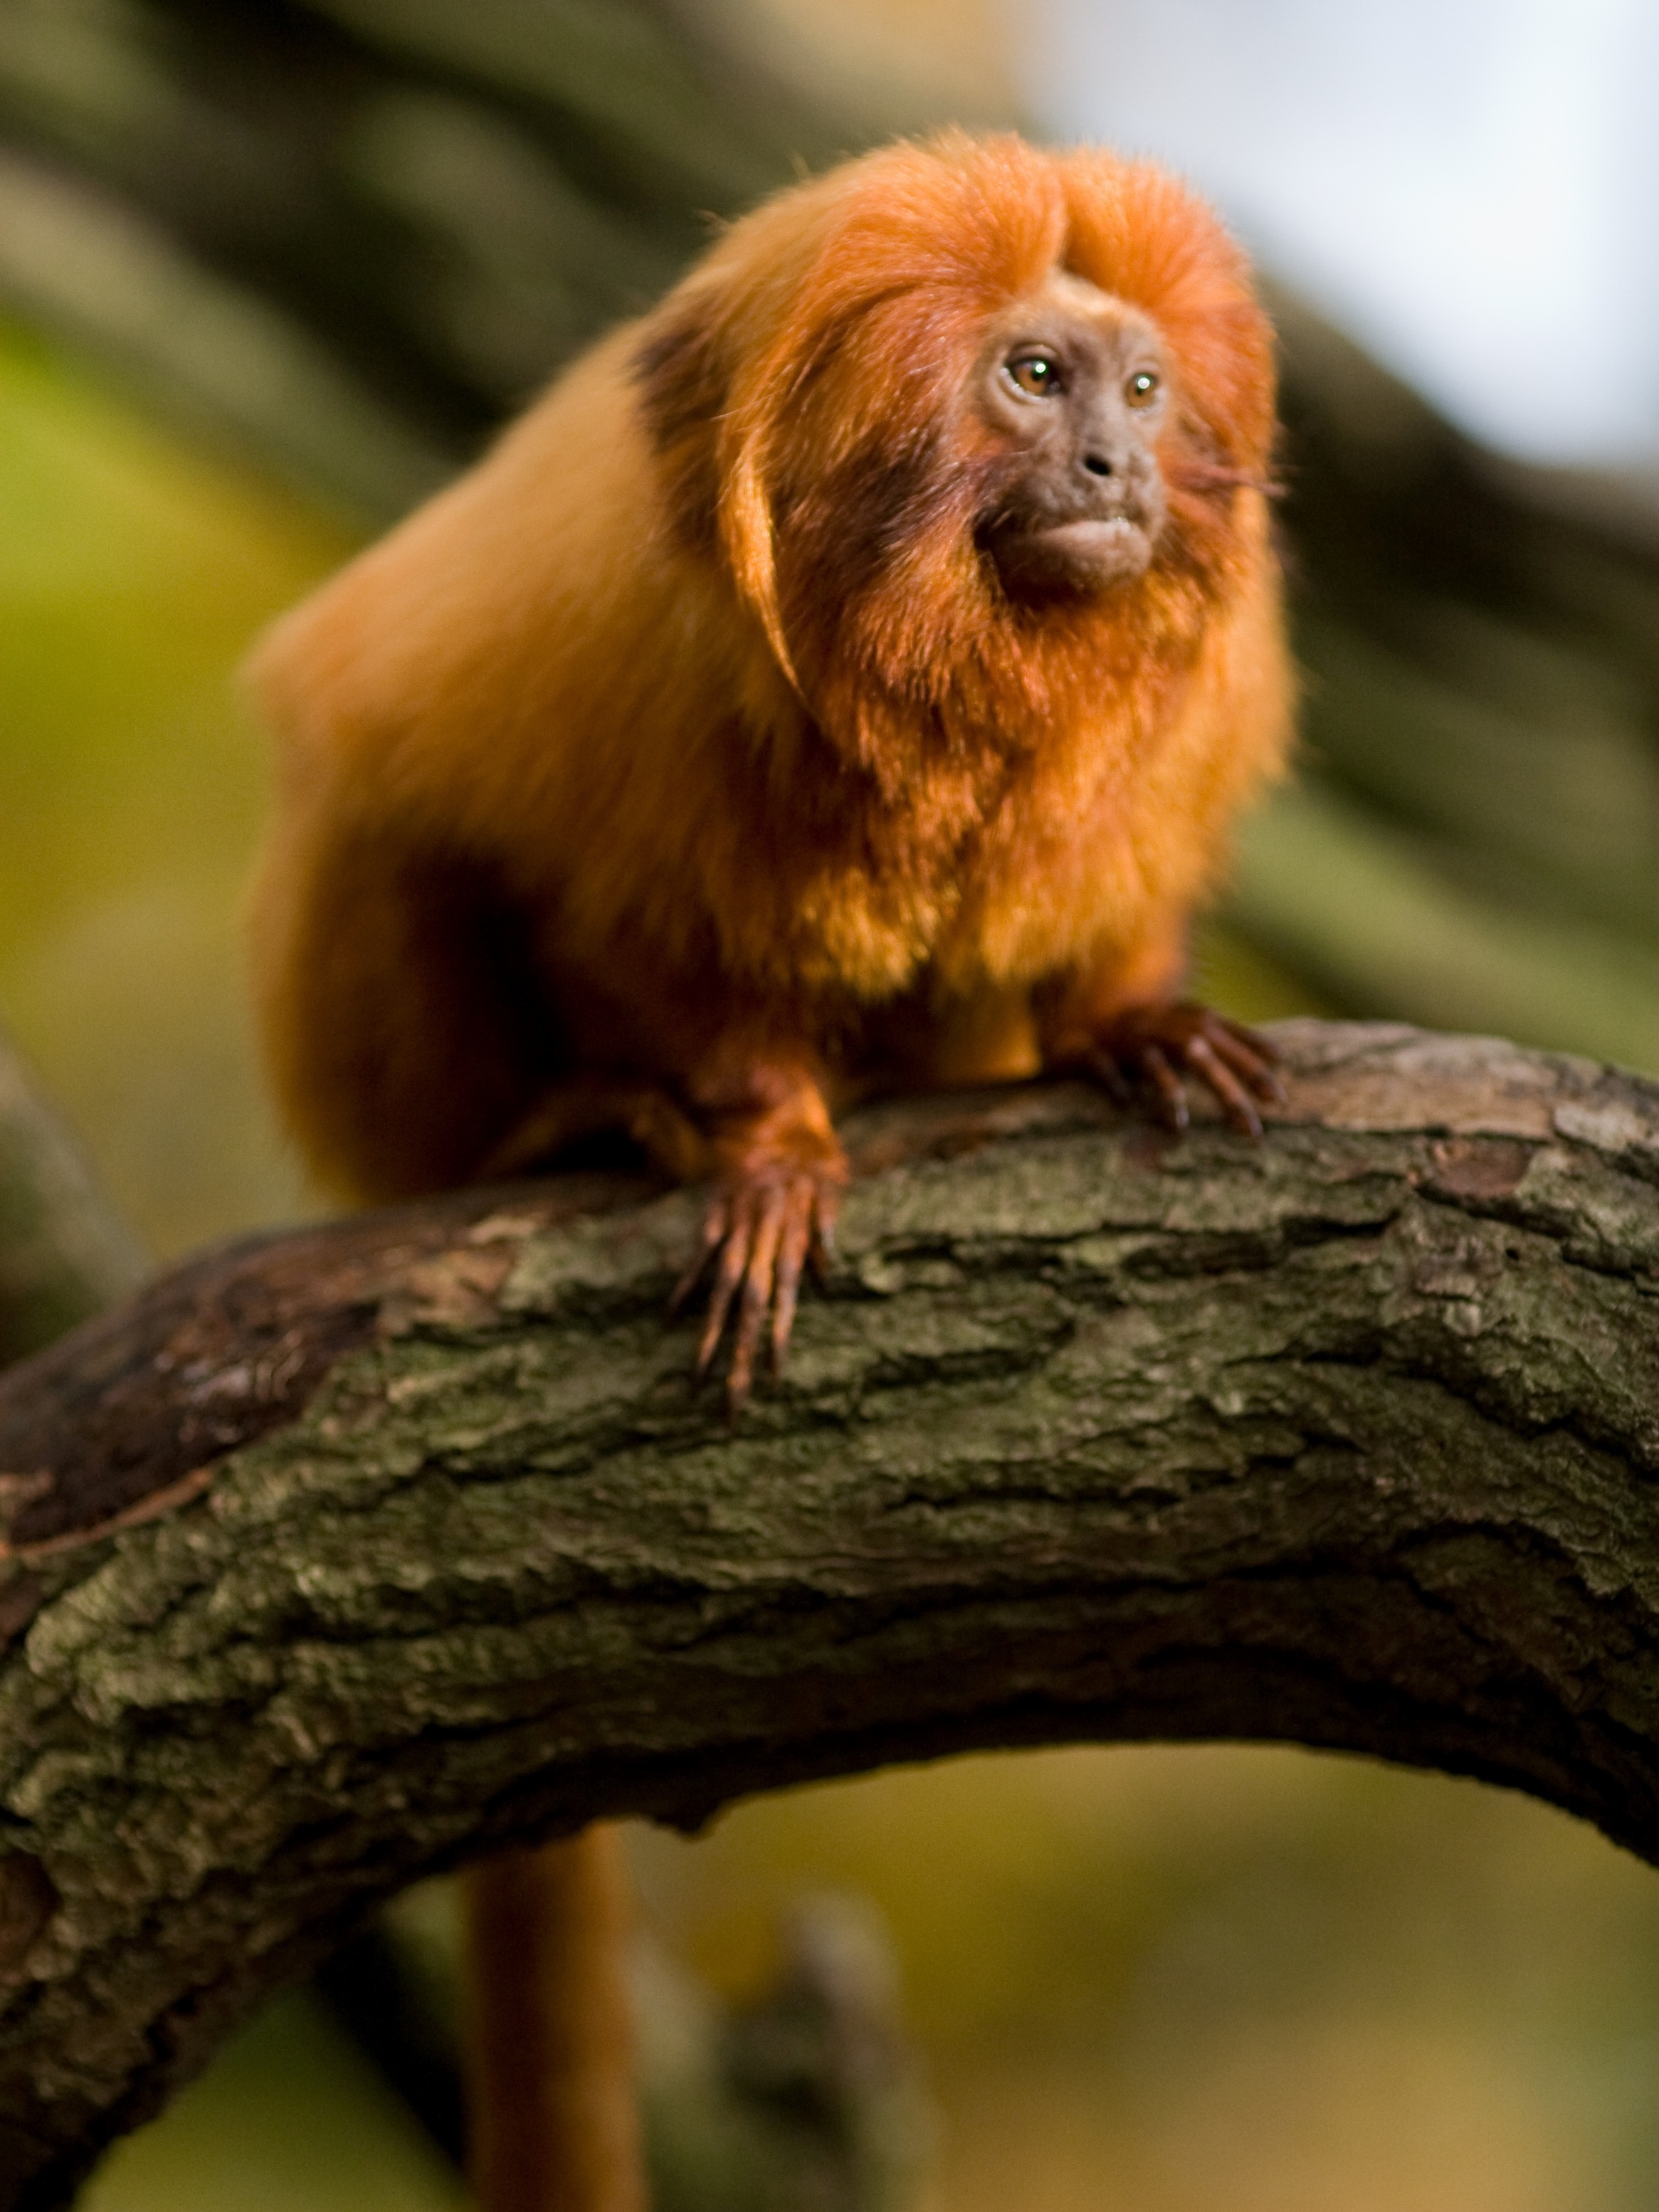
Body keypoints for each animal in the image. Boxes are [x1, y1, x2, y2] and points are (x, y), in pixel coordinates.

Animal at [243, 134, 1300, 2212]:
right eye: (1035, 380)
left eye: (1145, 393)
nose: (1117, 468)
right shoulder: (616, 682)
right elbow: (592, 905)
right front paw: (756, 1141)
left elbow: (1102, 900)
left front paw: (1133, 1023)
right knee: (388, 819)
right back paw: (581, 1121)